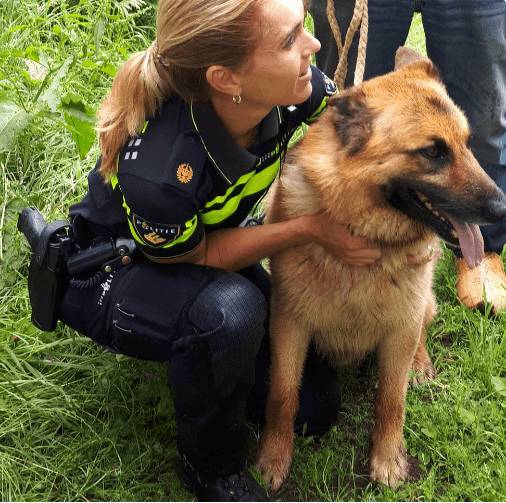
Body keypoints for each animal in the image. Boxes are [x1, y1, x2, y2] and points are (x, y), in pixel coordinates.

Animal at [255, 48, 506, 492]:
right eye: (432, 152)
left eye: (467, 144)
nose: (502, 208)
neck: (364, 233)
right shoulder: (288, 325)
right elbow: (282, 396)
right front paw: (273, 458)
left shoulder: (400, 329)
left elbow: (392, 400)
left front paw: (388, 460)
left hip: (422, 307)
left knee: (423, 331)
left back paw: (421, 365)